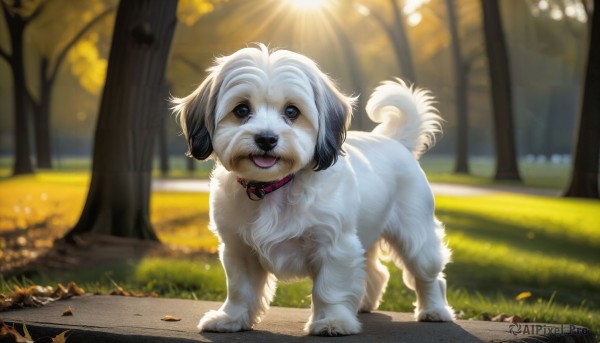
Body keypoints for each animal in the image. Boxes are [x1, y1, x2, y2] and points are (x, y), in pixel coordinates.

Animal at [173, 44, 454, 338]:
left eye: (292, 111)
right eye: (241, 109)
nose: (266, 138)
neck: (274, 186)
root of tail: (394, 141)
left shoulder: (335, 246)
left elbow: (329, 288)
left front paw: (332, 321)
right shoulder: (239, 249)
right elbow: (241, 289)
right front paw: (232, 318)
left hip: (415, 236)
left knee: (428, 275)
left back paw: (434, 309)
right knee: (376, 272)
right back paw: (363, 304)